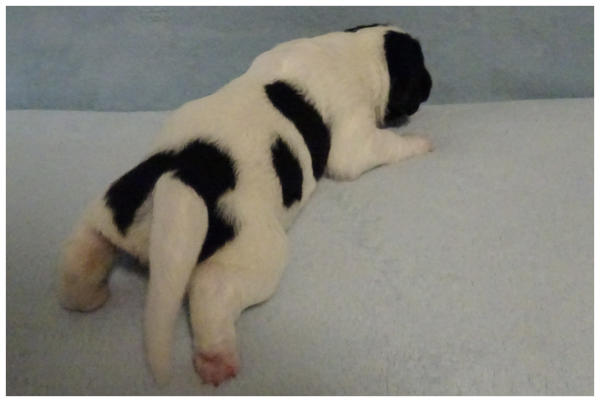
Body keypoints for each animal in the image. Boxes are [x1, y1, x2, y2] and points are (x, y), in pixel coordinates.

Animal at [58, 23, 432, 387]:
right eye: (421, 70)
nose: (431, 86)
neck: (353, 49)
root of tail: (183, 177)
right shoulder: (354, 135)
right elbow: (379, 146)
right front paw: (420, 142)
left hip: (111, 206)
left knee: (86, 250)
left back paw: (87, 294)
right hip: (254, 250)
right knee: (213, 291)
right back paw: (216, 358)